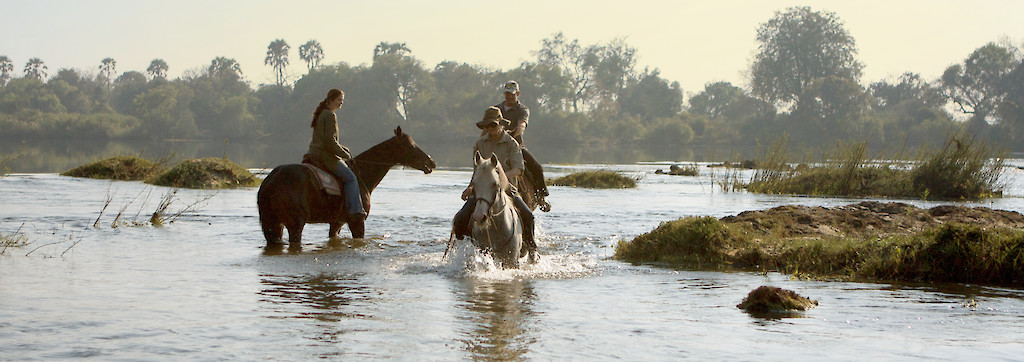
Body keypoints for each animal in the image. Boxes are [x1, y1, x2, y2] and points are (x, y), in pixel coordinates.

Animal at [258, 126, 434, 246]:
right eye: (411, 146)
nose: (431, 161)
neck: (362, 174)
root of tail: (271, 181)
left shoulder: (337, 222)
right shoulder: (357, 221)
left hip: (273, 224)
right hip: (295, 225)